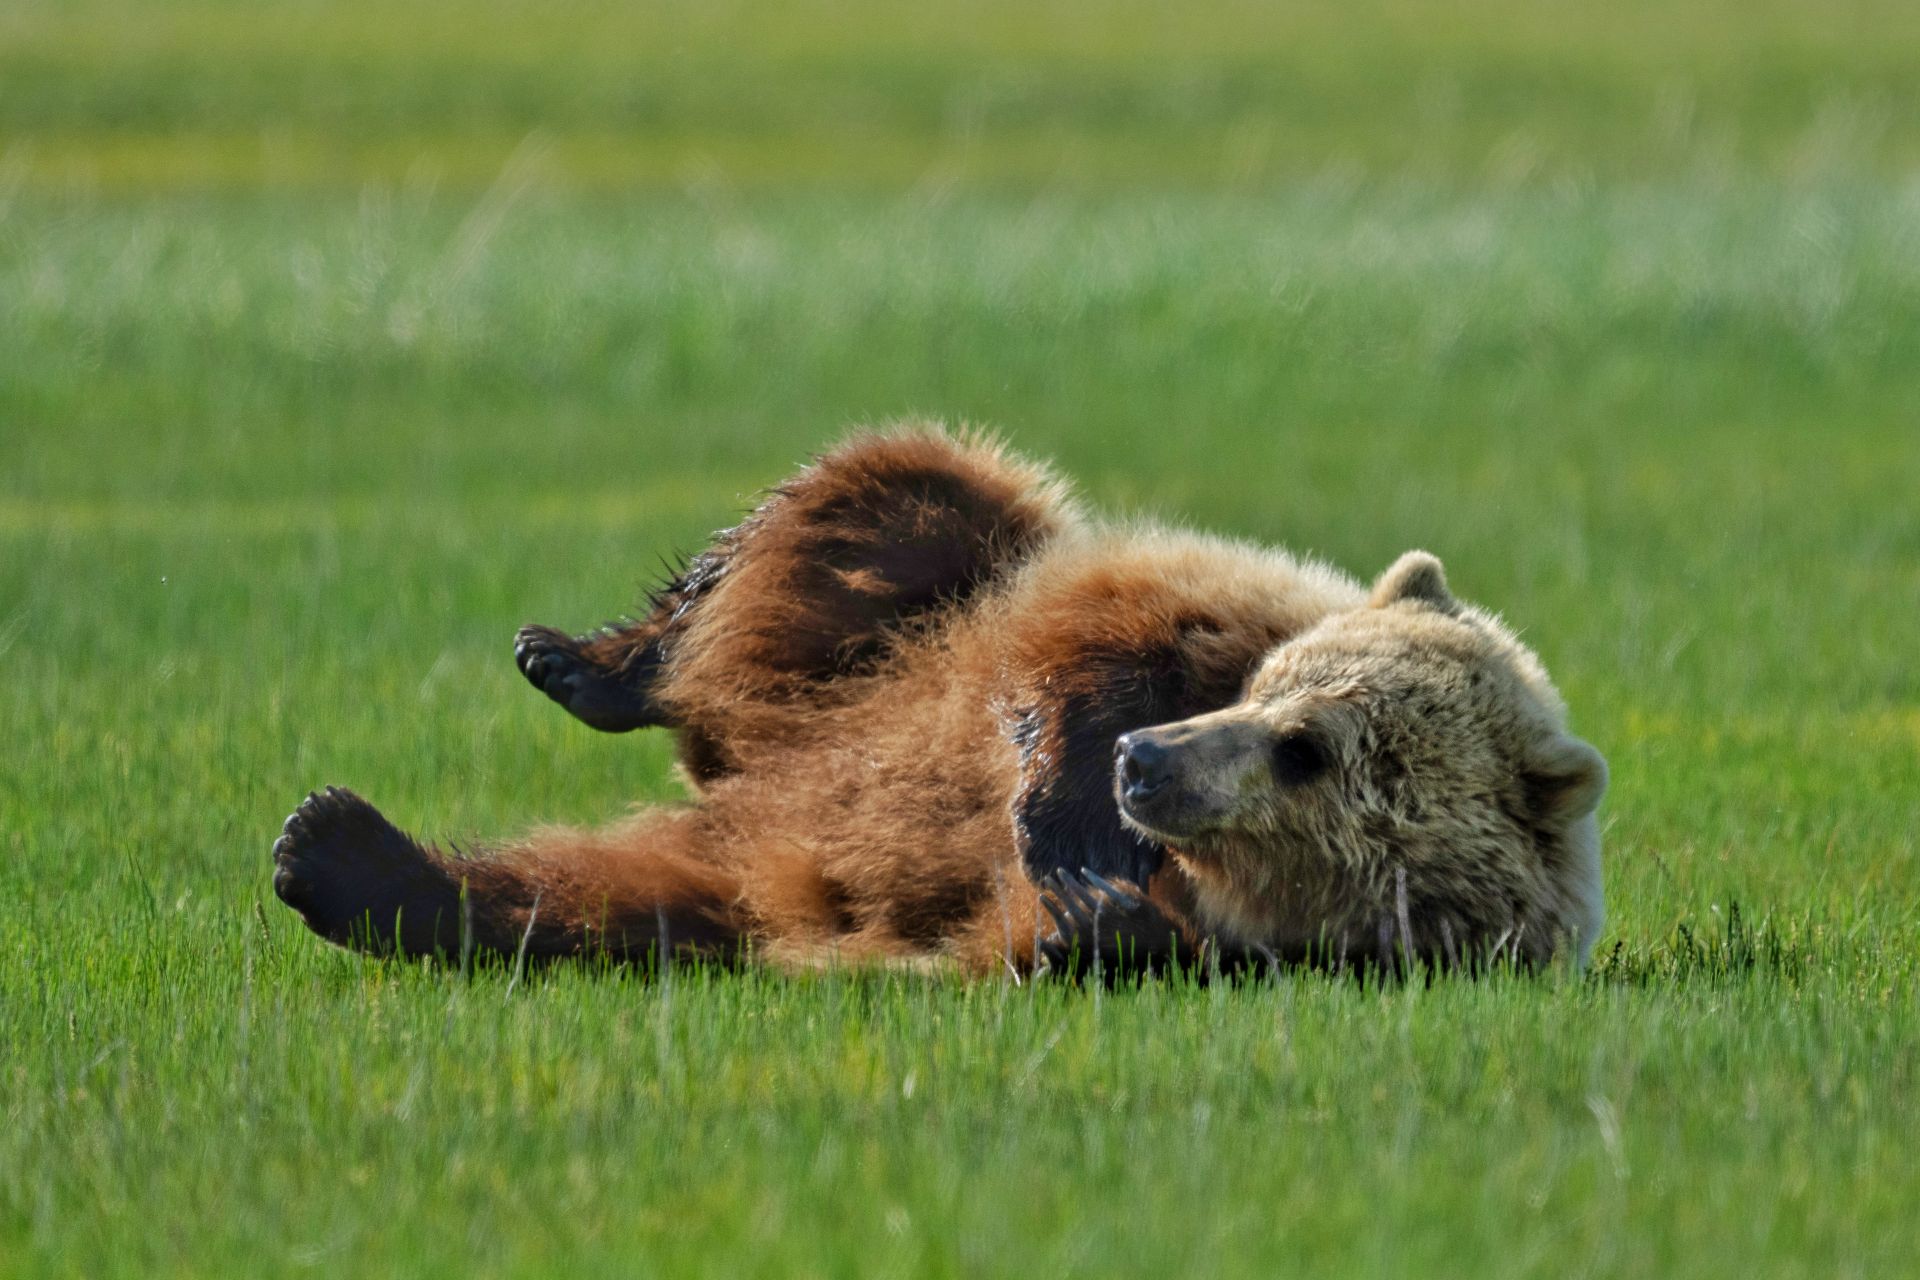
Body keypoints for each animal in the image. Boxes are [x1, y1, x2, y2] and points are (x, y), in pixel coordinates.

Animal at [271, 424, 1608, 978]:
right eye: (1287, 702)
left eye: (1306, 755)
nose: (1146, 762)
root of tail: (730, 770)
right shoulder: (1205, 608)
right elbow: (1086, 655)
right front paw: (1069, 825)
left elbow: (1066, 935)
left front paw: (1093, 906)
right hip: (890, 610)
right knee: (885, 494)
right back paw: (588, 664)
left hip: (744, 874)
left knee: (609, 901)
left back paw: (342, 855)